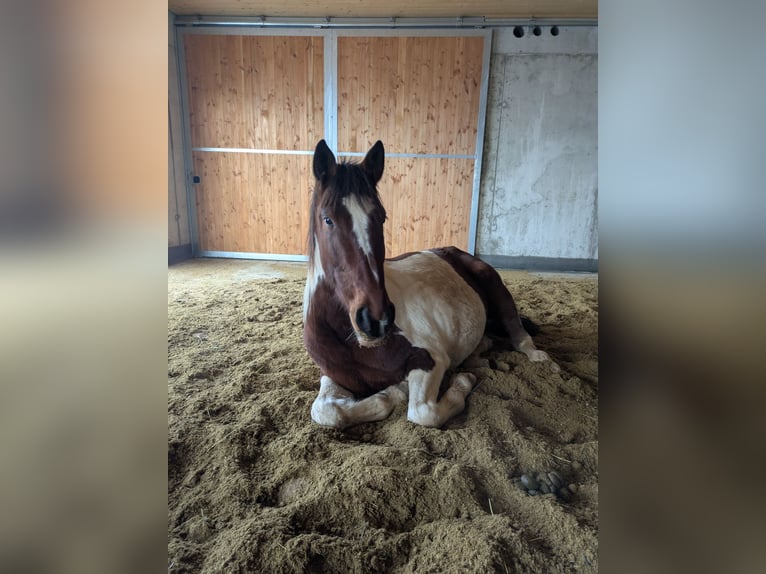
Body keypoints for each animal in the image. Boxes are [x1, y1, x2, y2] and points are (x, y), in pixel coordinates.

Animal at [303, 139, 559, 429]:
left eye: (381, 217)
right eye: (328, 219)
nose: (375, 320)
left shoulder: (431, 358)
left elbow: (423, 412)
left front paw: (460, 381)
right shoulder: (333, 376)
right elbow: (326, 411)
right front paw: (391, 393)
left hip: (496, 286)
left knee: (519, 336)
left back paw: (543, 361)